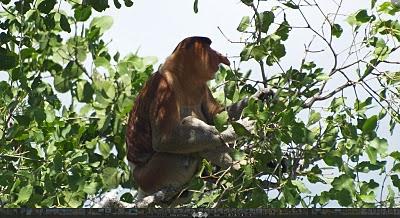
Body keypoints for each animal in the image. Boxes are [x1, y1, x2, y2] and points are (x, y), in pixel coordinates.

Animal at [126, 36, 262, 201]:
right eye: (209, 48)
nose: (220, 55)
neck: (182, 77)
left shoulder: (202, 86)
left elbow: (217, 115)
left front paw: (261, 96)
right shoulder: (163, 87)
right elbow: (165, 139)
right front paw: (235, 131)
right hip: (155, 173)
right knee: (191, 131)